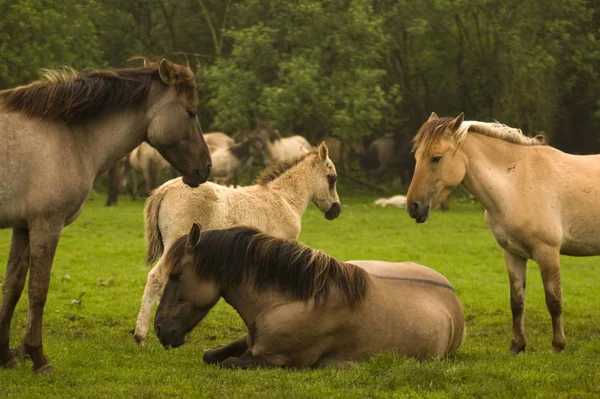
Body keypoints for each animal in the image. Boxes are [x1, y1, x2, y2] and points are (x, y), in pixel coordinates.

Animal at [0, 58, 213, 372]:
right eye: (192, 112)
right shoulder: (46, 225)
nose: (206, 167)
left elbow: (12, 288)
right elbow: (38, 290)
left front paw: (7, 357)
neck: (68, 137)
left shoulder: (23, 227)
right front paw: (38, 357)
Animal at [135, 143, 342, 344]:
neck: (285, 199)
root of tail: (165, 189)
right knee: (156, 277)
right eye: (332, 178)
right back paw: (141, 335)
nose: (336, 210)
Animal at [154, 225, 464, 368]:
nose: (159, 329)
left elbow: (229, 362)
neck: (293, 300)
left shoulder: (275, 359)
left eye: (175, 275)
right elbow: (211, 355)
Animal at [404, 111, 600, 354]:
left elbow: (554, 301)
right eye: (417, 157)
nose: (413, 207)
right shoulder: (513, 254)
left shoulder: (548, 254)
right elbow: (516, 301)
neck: (518, 183)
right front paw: (517, 345)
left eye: (436, 158)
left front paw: (557, 345)